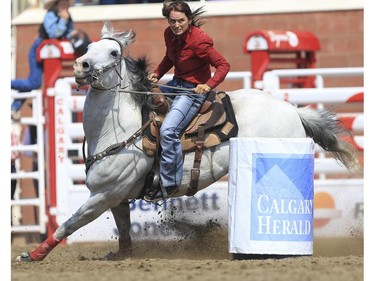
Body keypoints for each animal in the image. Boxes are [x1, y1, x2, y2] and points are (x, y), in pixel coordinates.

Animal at [15, 21, 362, 260]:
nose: (81, 65)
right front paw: (123, 255)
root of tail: (292, 110)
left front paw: (32, 255)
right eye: (88, 48)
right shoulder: (118, 197)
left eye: (113, 52)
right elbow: (124, 230)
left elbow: (67, 225)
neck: (120, 129)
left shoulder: (103, 195)